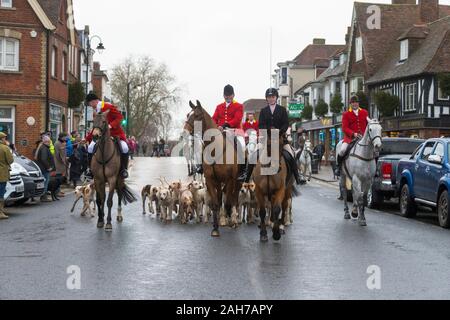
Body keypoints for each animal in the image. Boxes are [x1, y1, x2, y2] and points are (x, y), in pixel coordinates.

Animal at [184, 100, 243, 238]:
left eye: (197, 115)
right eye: (188, 115)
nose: (184, 132)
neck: (216, 150)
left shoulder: (230, 180)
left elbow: (229, 201)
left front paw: (230, 220)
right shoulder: (211, 180)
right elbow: (216, 203)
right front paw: (215, 228)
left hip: (237, 181)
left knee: (234, 199)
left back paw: (233, 219)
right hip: (219, 182)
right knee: (222, 197)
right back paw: (223, 218)